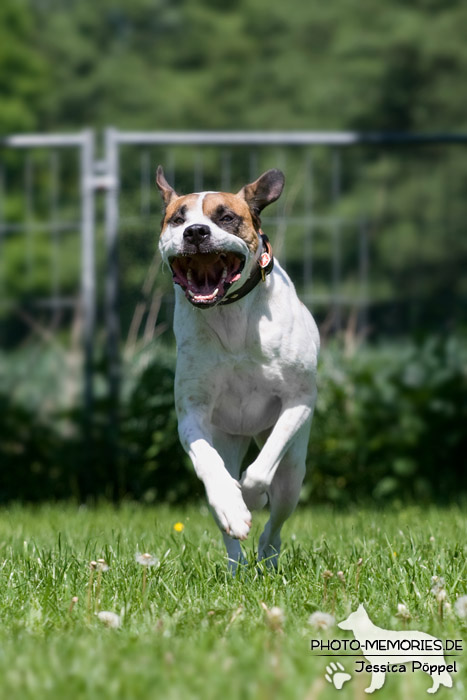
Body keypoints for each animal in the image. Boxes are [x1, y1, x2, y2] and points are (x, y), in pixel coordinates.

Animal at [157, 167, 322, 572]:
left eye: (226, 217)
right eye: (177, 219)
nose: (195, 233)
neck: (229, 314)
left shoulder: (298, 401)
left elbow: (263, 468)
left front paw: (250, 497)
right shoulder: (193, 412)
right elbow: (209, 465)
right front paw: (233, 506)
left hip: (294, 471)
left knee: (277, 513)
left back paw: (268, 551)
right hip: (227, 439)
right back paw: (236, 562)